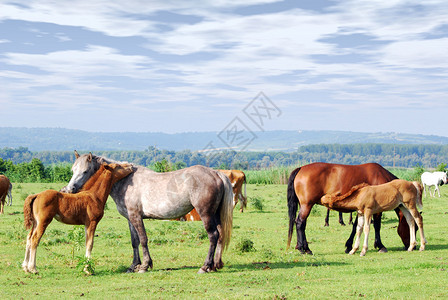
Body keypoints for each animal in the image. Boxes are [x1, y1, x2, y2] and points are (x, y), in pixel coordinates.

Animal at [60, 151, 234, 274]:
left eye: (85, 171)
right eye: (73, 170)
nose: (69, 189)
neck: (125, 181)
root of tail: (216, 173)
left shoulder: (136, 217)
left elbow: (143, 239)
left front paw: (144, 265)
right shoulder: (130, 218)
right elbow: (134, 241)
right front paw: (133, 266)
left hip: (206, 214)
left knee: (213, 236)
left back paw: (205, 267)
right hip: (215, 215)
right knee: (220, 235)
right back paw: (216, 265)